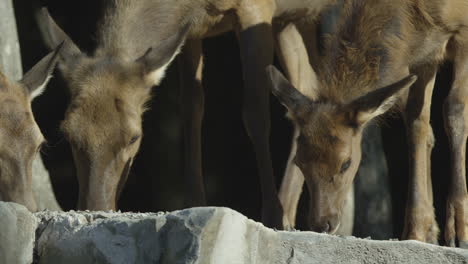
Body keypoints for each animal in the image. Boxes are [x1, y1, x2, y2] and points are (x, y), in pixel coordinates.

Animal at [35, 0, 336, 227]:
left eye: (134, 137)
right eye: (66, 133)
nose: (93, 207)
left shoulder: (257, 8)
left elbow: (255, 113)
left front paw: (272, 215)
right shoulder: (192, 30)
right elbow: (192, 108)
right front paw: (194, 202)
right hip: (293, 21)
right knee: (307, 84)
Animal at [266, 0, 468, 248]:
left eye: (346, 163)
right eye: (299, 161)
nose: (322, 224)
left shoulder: (462, 30)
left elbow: (454, 109)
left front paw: (458, 231)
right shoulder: (424, 53)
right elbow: (417, 124)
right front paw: (417, 232)